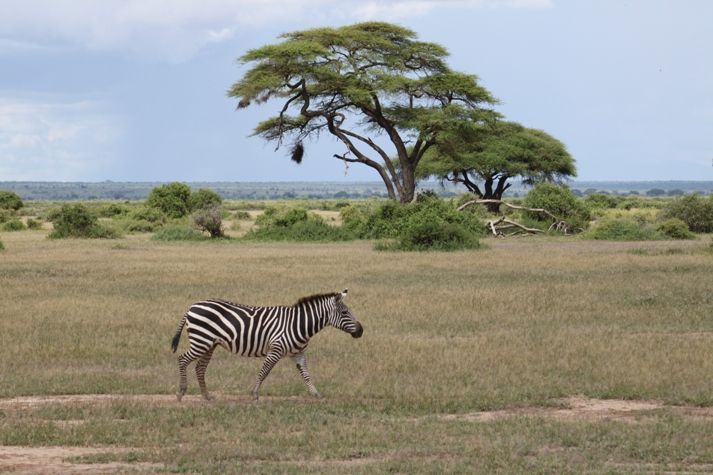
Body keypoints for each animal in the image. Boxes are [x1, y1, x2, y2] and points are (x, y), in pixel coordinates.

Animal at [171, 290, 362, 402]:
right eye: (345, 312)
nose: (361, 330)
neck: (299, 324)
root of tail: (192, 306)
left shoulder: (298, 353)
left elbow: (306, 375)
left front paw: (317, 394)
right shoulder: (276, 349)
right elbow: (264, 371)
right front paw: (255, 394)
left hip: (209, 344)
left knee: (200, 367)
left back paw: (206, 396)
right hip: (201, 340)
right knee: (182, 359)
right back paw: (181, 393)